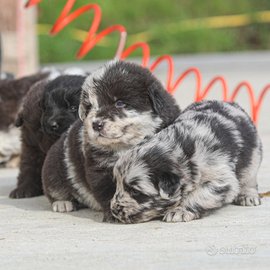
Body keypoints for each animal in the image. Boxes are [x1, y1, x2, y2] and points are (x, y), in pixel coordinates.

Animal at [41, 59, 181, 221]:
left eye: (119, 103)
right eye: (90, 106)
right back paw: (63, 203)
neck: (125, 146)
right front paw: (114, 213)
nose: (96, 124)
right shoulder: (101, 168)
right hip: (53, 168)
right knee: (54, 187)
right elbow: (109, 192)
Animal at [110, 100, 262, 223]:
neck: (185, 154)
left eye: (135, 191)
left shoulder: (221, 180)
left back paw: (248, 196)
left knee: (250, 181)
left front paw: (180, 211)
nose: (114, 210)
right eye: (117, 184)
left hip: (253, 160)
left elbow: (198, 196)